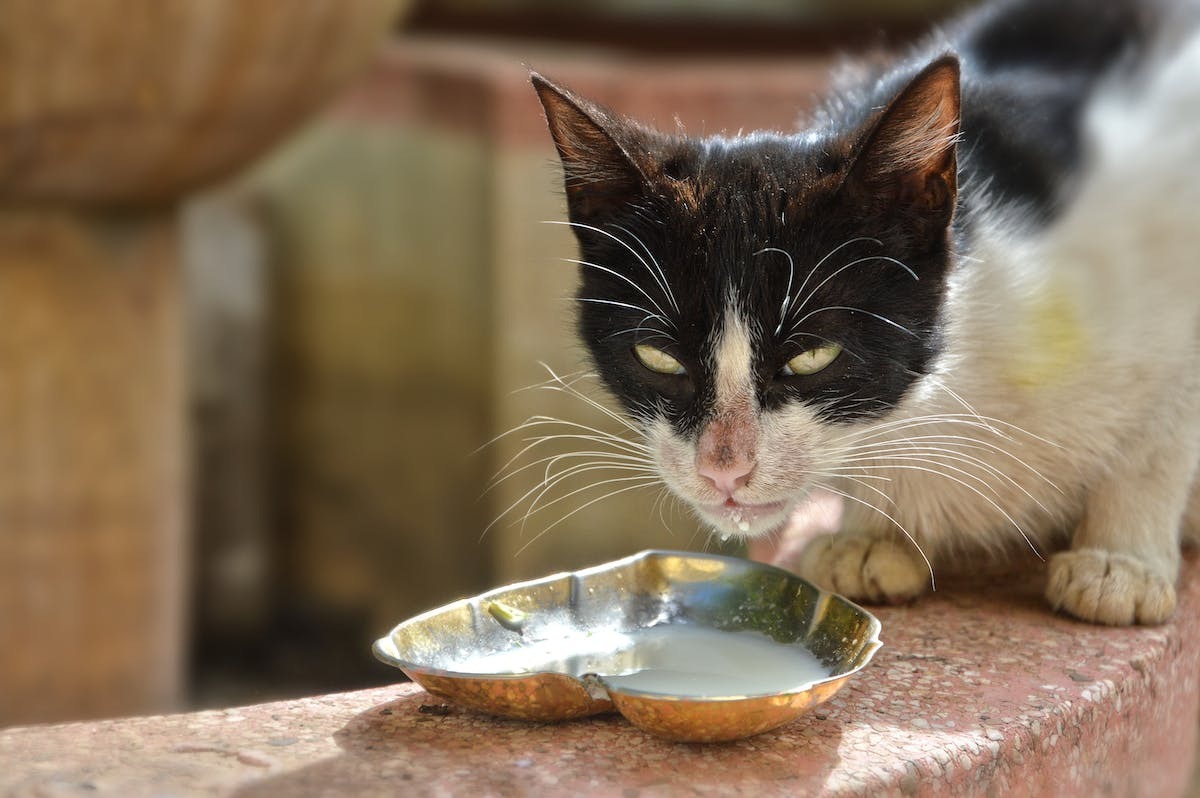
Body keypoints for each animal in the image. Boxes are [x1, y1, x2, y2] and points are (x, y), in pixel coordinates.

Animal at [532, 0, 1200, 624]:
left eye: (813, 355)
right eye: (657, 357)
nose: (725, 470)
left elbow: (1160, 434)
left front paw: (1119, 561)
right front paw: (873, 536)